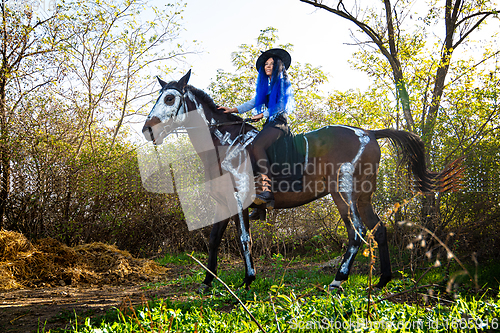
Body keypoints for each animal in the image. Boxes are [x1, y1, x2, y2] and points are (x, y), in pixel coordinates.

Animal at [141, 69, 460, 290]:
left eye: (169, 98)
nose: (147, 129)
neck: (223, 142)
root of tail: (369, 133)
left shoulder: (238, 201)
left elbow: (243, 239)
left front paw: (248, 279)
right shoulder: (223, 204)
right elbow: (213, 240)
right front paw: (207, 282)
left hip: (346, 194)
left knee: (358, 232)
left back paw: (339, 279)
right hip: (357, 197)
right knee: (377, 230)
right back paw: (382, 280)